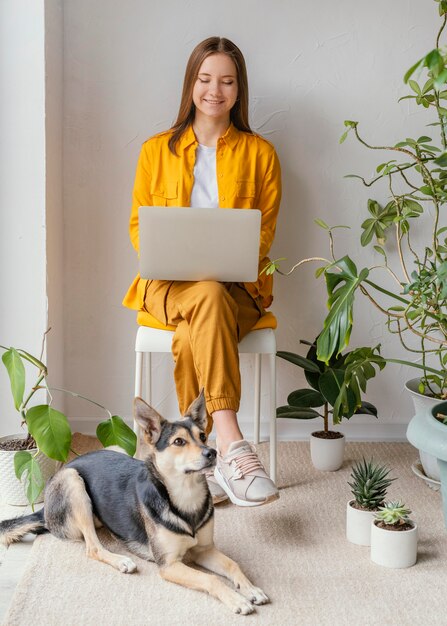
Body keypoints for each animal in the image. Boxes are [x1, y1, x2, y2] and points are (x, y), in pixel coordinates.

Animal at [0, 390, 270, 616]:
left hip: (117, 447)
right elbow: (210, 579)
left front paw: (251, 589)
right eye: (179, 442)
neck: (185, 494)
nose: (211, 453)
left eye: (203, 436)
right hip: (72, 480)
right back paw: (121, 560)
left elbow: (232, 564)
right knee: (92, 547)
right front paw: (237, 599)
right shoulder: (168, 565)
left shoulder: (203, 550)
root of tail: (44, 510)